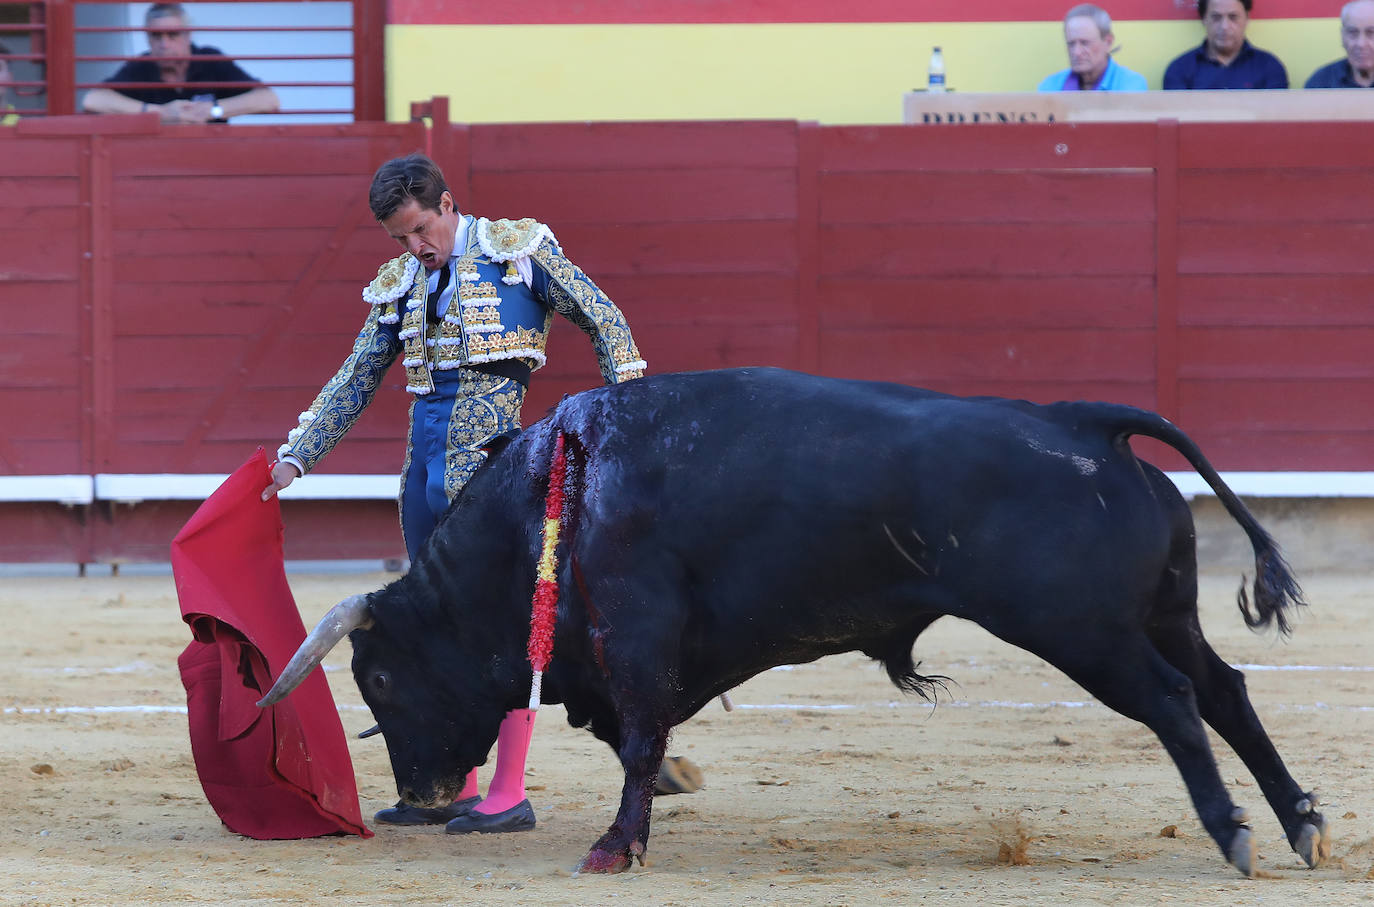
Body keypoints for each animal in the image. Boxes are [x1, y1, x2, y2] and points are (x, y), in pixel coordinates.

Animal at [259, 365, 1330, 874]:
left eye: (379, 678)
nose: (424, 794)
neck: (555, 491)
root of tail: (1080, 422)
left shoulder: (635, 633)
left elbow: (639, 736)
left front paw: (614, 845)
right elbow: (635, 735)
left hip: (1084, 632)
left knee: (1175, 701)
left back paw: (1234, 833)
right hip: (1162, 613)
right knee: (1228, 691)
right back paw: (1301, 824)